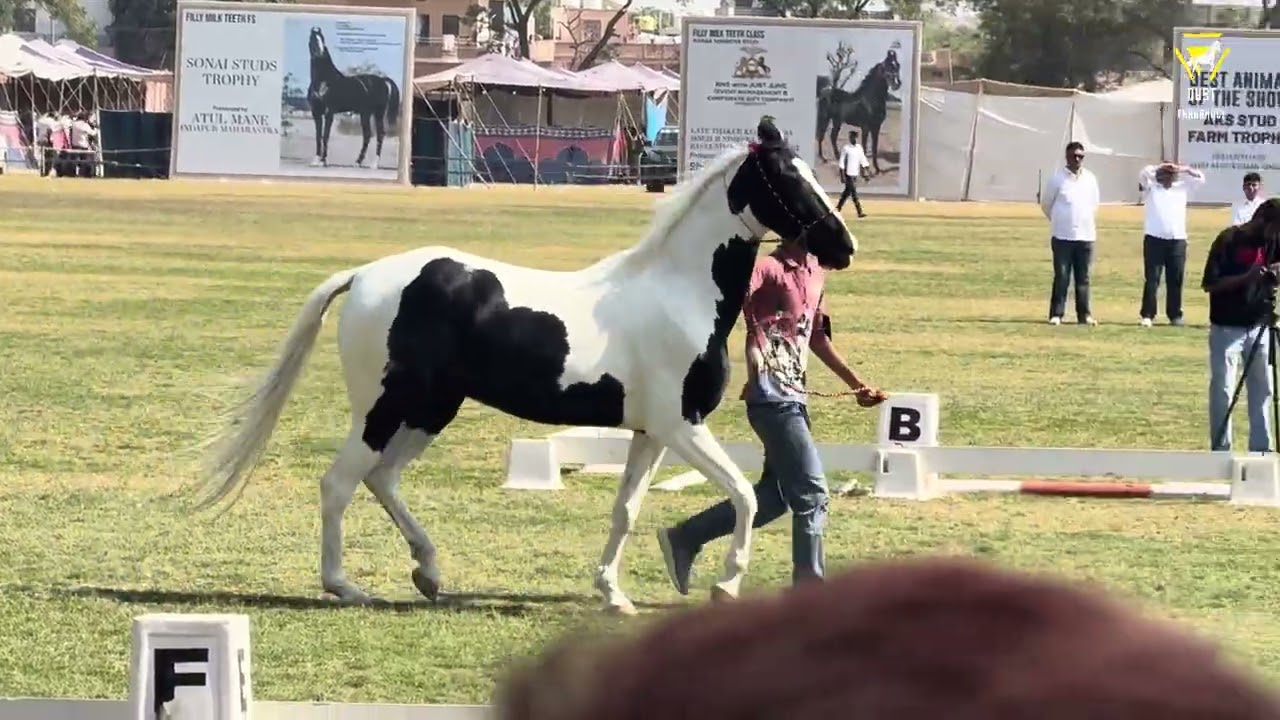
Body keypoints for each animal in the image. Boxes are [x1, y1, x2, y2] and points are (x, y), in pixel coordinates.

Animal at [193, 119, 857, 615]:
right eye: (786, 177)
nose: (843, 247)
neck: (679, 292)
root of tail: (363, 276)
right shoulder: (682, 426)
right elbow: (744, 494)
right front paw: (725, 583)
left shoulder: (651, 432)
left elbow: (626, 510)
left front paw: (613, 595)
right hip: (384, 408)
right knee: (339, 483)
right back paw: (344, 585)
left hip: (430, 410)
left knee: (381, 479)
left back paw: (429, 574)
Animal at [306, 27, 401, 170]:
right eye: (313, 38)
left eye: (322, 38)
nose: (321, 52)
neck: (325, 81)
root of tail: (383, 81)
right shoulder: (316, 113)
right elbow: (318, 136)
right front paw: (316, 160)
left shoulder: (329, 112)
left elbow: (325, 136)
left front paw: (323, 161)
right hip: (366, 113)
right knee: (368, 135)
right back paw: (358, 162)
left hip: (376, 113)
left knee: (379, 134)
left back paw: (373, 164)